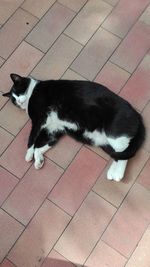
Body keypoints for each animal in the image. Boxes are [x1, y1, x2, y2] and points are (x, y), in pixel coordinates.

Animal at [2, 73, 145, 182]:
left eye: (18, 92)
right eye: (13, 100)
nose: (18, 101)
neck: (33, 91)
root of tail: (137, 114)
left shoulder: (39, 120)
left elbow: (32, 139)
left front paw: (28, 155)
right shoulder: (53, 129)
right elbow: (41, 144)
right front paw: (39, 160)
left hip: (113, 133)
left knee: (125, 151)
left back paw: (118, 175)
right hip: (104, 142)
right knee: (121, 153)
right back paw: (112, 173)